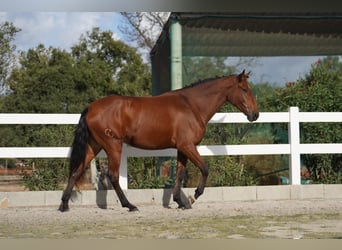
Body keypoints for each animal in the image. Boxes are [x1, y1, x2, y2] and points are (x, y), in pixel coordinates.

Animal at [58, 70, 260, 211]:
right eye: (244, 89)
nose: (255, 115)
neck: (191, 106)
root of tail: (91, 108)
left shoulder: (182, 148)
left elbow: (180, 174)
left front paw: (180, 202)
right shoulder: (188, 146)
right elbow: (204, 168)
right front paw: (193, 197)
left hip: (94, 146)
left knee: (76, 171)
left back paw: (64, 205)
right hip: (113, 146)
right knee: (113, 176)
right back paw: (130, 205)